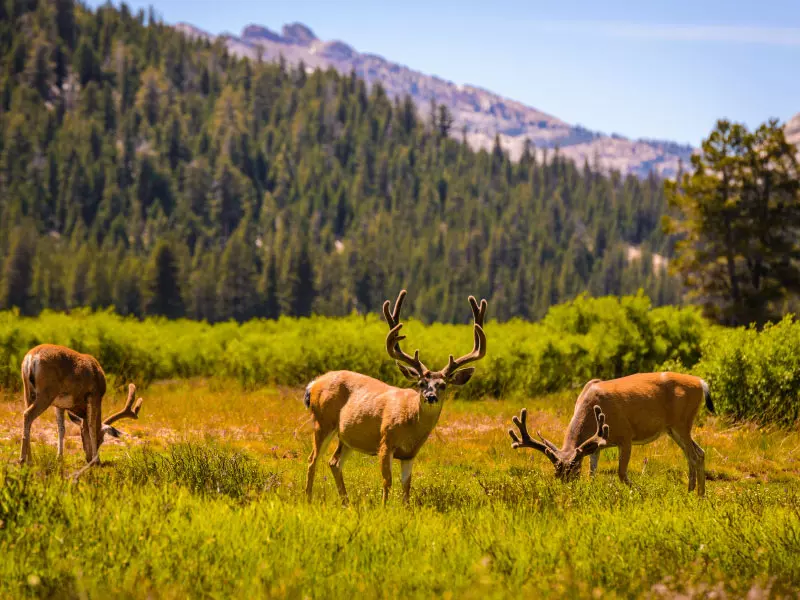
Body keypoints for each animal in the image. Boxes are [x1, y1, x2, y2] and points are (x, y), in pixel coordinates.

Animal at [19, 344, 144, 476]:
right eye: (102, 439)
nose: (88, 458)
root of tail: (31, 357)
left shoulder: (59, 405)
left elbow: (61, 429)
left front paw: (60, 458)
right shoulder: (94, 395)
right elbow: (92, 427)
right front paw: (96, 461)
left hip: (28, 392)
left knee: (28, 418)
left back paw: (29, 459)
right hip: (47, 393)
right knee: (27, 415)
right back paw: (24, 460)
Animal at [304, 290, 488, 506]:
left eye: (443, 385)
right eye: (421, 383)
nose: (431, 397)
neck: (411, 426)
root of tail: (314, 383)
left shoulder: (410, 454)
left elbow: (406, 484)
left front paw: (406, 508)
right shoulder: (385, 441)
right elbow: (387, 480)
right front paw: (384, 507)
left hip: (347, 437)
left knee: (334, 462)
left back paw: (346, 502)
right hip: (322, 422)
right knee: (313, 459)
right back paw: (308, 499)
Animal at [510, 372, 708, 494]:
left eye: (575, 471)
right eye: (557, 474)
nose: (566, 492)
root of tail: (701, 382)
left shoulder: (626, 436)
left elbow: (621, 473)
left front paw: (640, 492)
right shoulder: (597, 445)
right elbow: (592, 473)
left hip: (682, 423)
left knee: (694, 455)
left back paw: (695, 494)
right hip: (672, 429)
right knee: (698, 453)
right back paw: (695, 493)